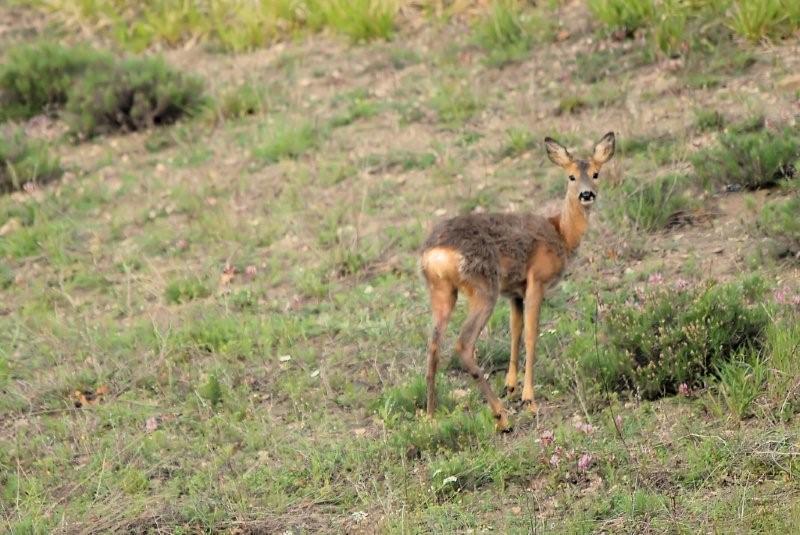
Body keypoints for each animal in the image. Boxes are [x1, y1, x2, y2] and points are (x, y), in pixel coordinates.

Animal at [422, 133, 616, 432]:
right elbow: (531, 335)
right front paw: (528, 398)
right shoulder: (537, 280)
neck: (561, 235)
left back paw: (431, 416)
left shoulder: (514, 292)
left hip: (442, 292)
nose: (587, 194)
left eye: (596, 173)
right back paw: (502, 418)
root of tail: (435, 253)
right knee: (463, 345)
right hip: (483, 288)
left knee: (433, 347)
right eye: (571, 176)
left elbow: (515, 331)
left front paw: (511, 385)